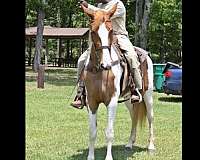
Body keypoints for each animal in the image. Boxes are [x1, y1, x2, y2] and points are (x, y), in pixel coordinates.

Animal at [80, 2, 155, 160]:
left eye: (110, 31)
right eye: (93, 31)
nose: (106, 64)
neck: (99, 71)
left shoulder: (112, 101)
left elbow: (109, 132)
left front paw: (108, 157)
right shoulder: (92, 102)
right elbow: (92, 132)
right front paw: (90, 156)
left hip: (148, 95)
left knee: (151, 117)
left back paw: (151, 146)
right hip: (129, 100)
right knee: (134, 117)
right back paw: (129, 143)